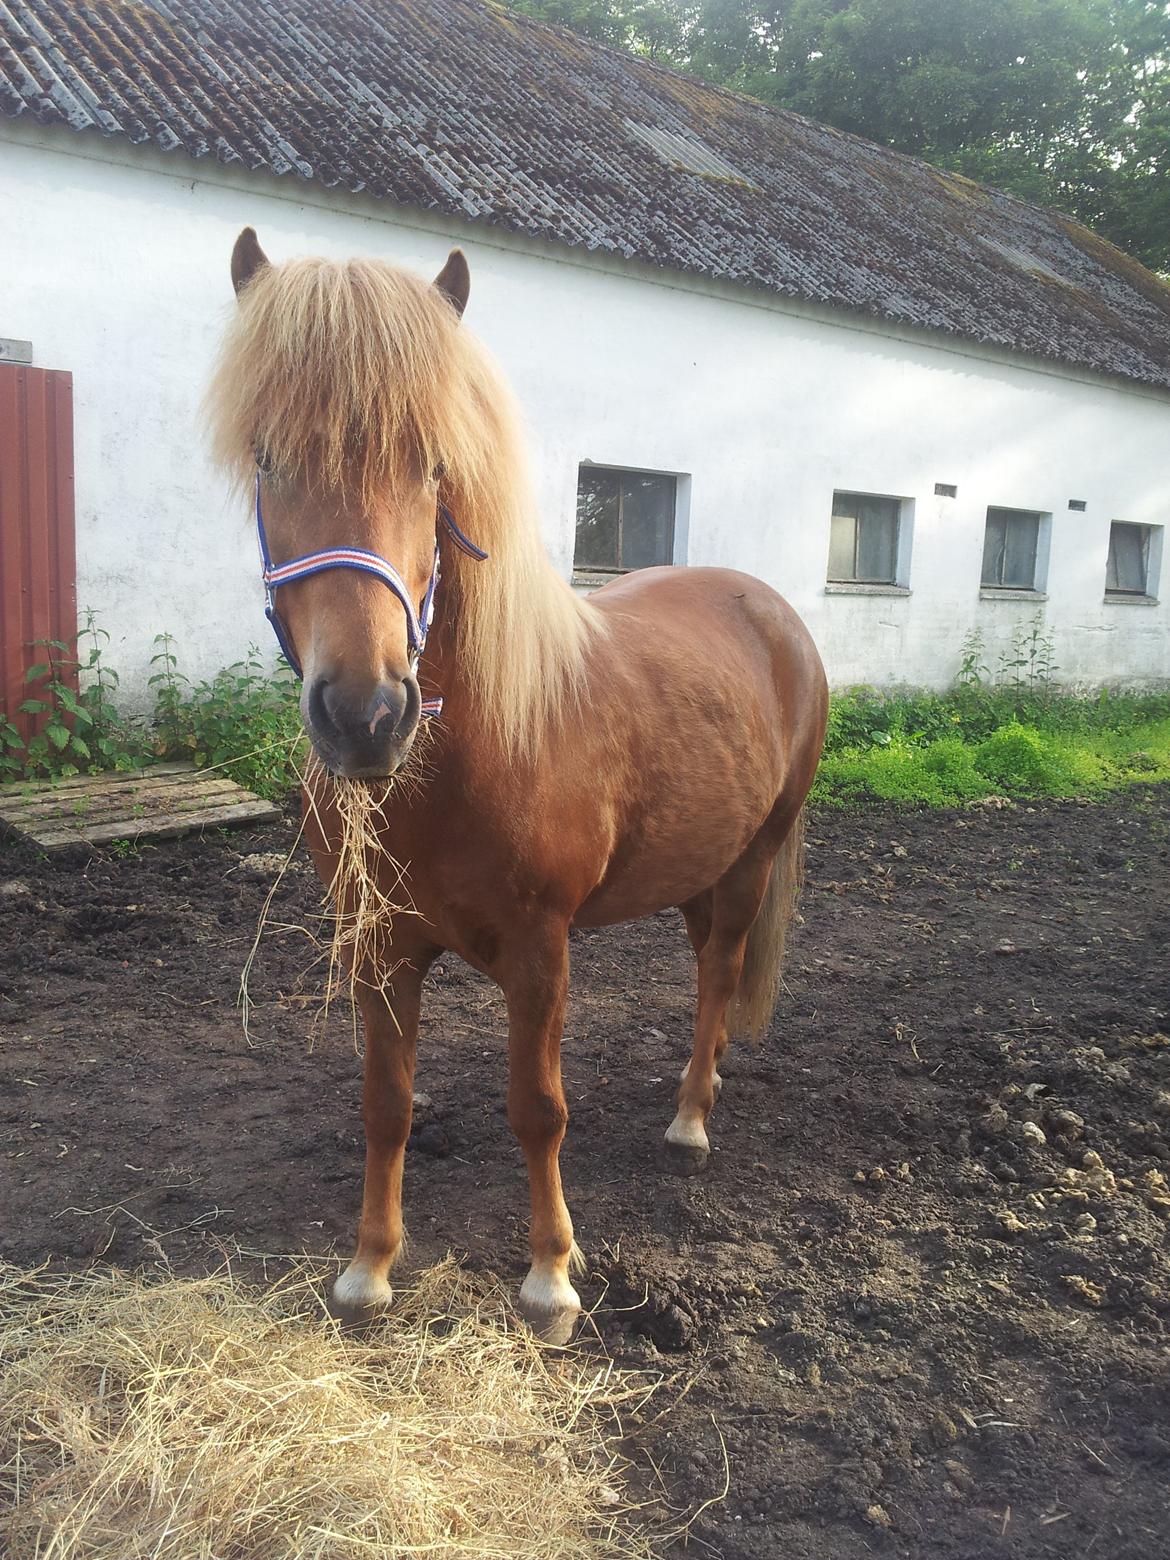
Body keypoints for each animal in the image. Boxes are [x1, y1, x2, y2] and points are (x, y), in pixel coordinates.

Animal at [210, 227, 836, 1341]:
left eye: (432, 465)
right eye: (269, 458)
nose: (366, 715)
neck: (460, 757)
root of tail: (768, 607)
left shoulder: (543, 950)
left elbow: (538, 1109)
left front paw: (551, 1277)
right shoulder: (378, 948)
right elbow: (386, 1103)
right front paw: (369, 1269)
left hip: (754, 861)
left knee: (721, 970)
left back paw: (690, 1119)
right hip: (698, 865)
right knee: (707, 974)